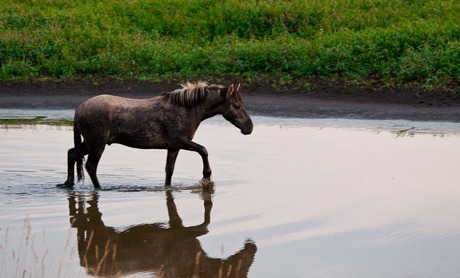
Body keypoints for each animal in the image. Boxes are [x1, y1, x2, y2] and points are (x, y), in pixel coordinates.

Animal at [56, 81, 255, 189]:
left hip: (90, 143)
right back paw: (99, 188)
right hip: (97, 144)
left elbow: (169, 171)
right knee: (90, 166)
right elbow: (203, 150)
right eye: (237, 105)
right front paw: (207, 176)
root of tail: (78, 110)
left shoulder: (174, 147)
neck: (185, 109)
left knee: (72, 154)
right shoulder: (182, 141)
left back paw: (68, 183)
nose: (249, 127)